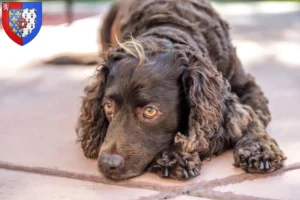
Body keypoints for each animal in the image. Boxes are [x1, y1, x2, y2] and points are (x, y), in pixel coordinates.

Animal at [60, 0, 286, 180]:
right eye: (108, 106)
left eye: (150, 111)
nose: (108, 164)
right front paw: (175, 155)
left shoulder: (247, 88)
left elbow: (251, 117)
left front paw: (259, 148)